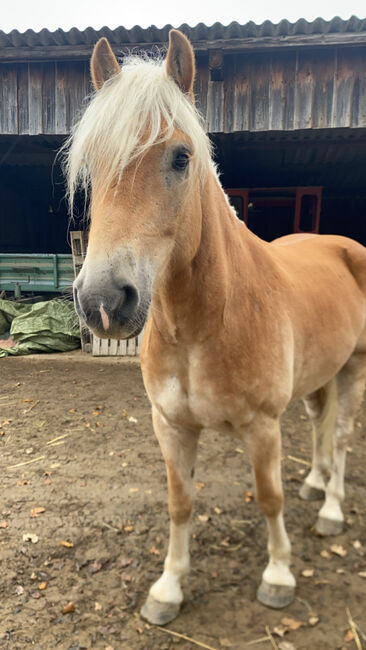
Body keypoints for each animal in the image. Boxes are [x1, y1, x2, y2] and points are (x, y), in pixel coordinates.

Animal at [66, 29, 366, 624]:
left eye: (181, 157)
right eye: (91, 162)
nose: (103, 301)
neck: (204, 326)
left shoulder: (263, 427)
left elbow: (269, 497)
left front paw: (278, 576)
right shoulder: (170, 425)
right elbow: (180, 502)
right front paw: (168, 588)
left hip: (354, 368)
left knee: (342, 434)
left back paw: (331, 511)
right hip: (319, 377)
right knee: (320, 426)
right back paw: (315, 484)